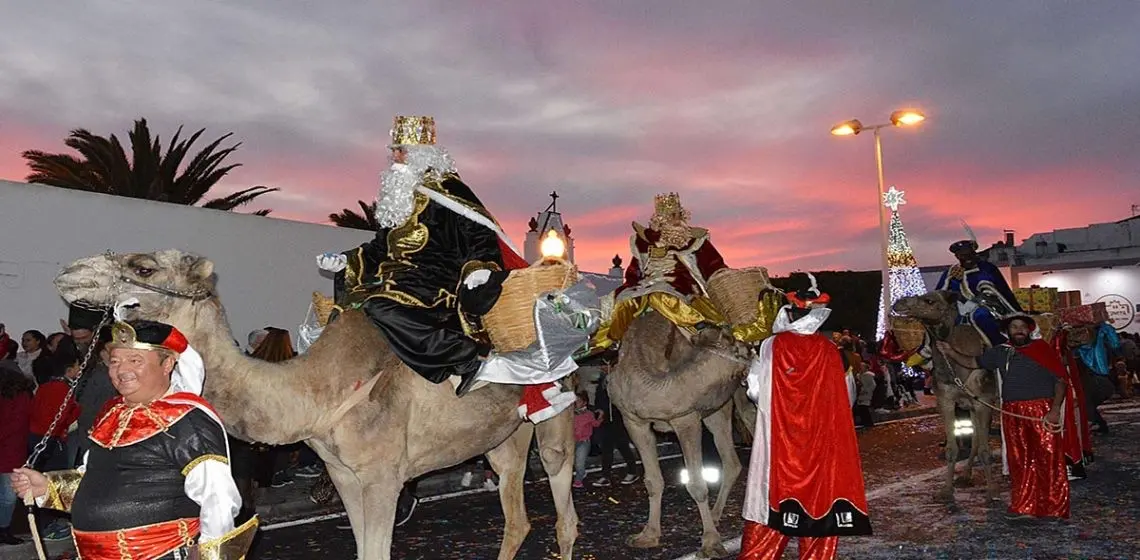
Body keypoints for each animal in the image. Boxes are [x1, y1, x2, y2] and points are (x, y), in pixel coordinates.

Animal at [54, 250, 579, 560]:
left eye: (143, 268)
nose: (68, 272)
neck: (316, 391)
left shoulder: (383, 475)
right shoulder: (344, 474)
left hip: (557, 415)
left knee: (563, 509)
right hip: (503, 436)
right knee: (516, 515)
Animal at [611, 312, 752, 558]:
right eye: (734, 345)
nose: (752, 349)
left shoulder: (686, 419)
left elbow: (696, 483)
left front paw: (711, 543)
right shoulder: (634, 421)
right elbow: (653, 480)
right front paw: (647, 536)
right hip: (717, 409)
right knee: (731, 460)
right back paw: (716, 514)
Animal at [889, 291, 998, 501]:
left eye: (929, 300)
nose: (899, 302)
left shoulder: (984, 402)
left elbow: (985, 449)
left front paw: (991, 492)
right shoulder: (947, 401)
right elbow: (952, 449)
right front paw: (947, 490)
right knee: (974, 439)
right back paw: (965, 476)